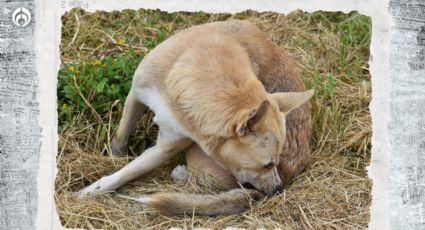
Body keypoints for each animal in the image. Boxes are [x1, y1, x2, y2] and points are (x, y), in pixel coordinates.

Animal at [78, 19, 314, 216]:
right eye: (267, 165)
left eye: (274, 163)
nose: (279, 189)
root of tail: (290, 173)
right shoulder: (136, 95)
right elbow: (120, 137)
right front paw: (113, 158)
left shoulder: (166, 147)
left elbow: (127, 173)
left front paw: (90, 191)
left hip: (197, 157)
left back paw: (181, 174)